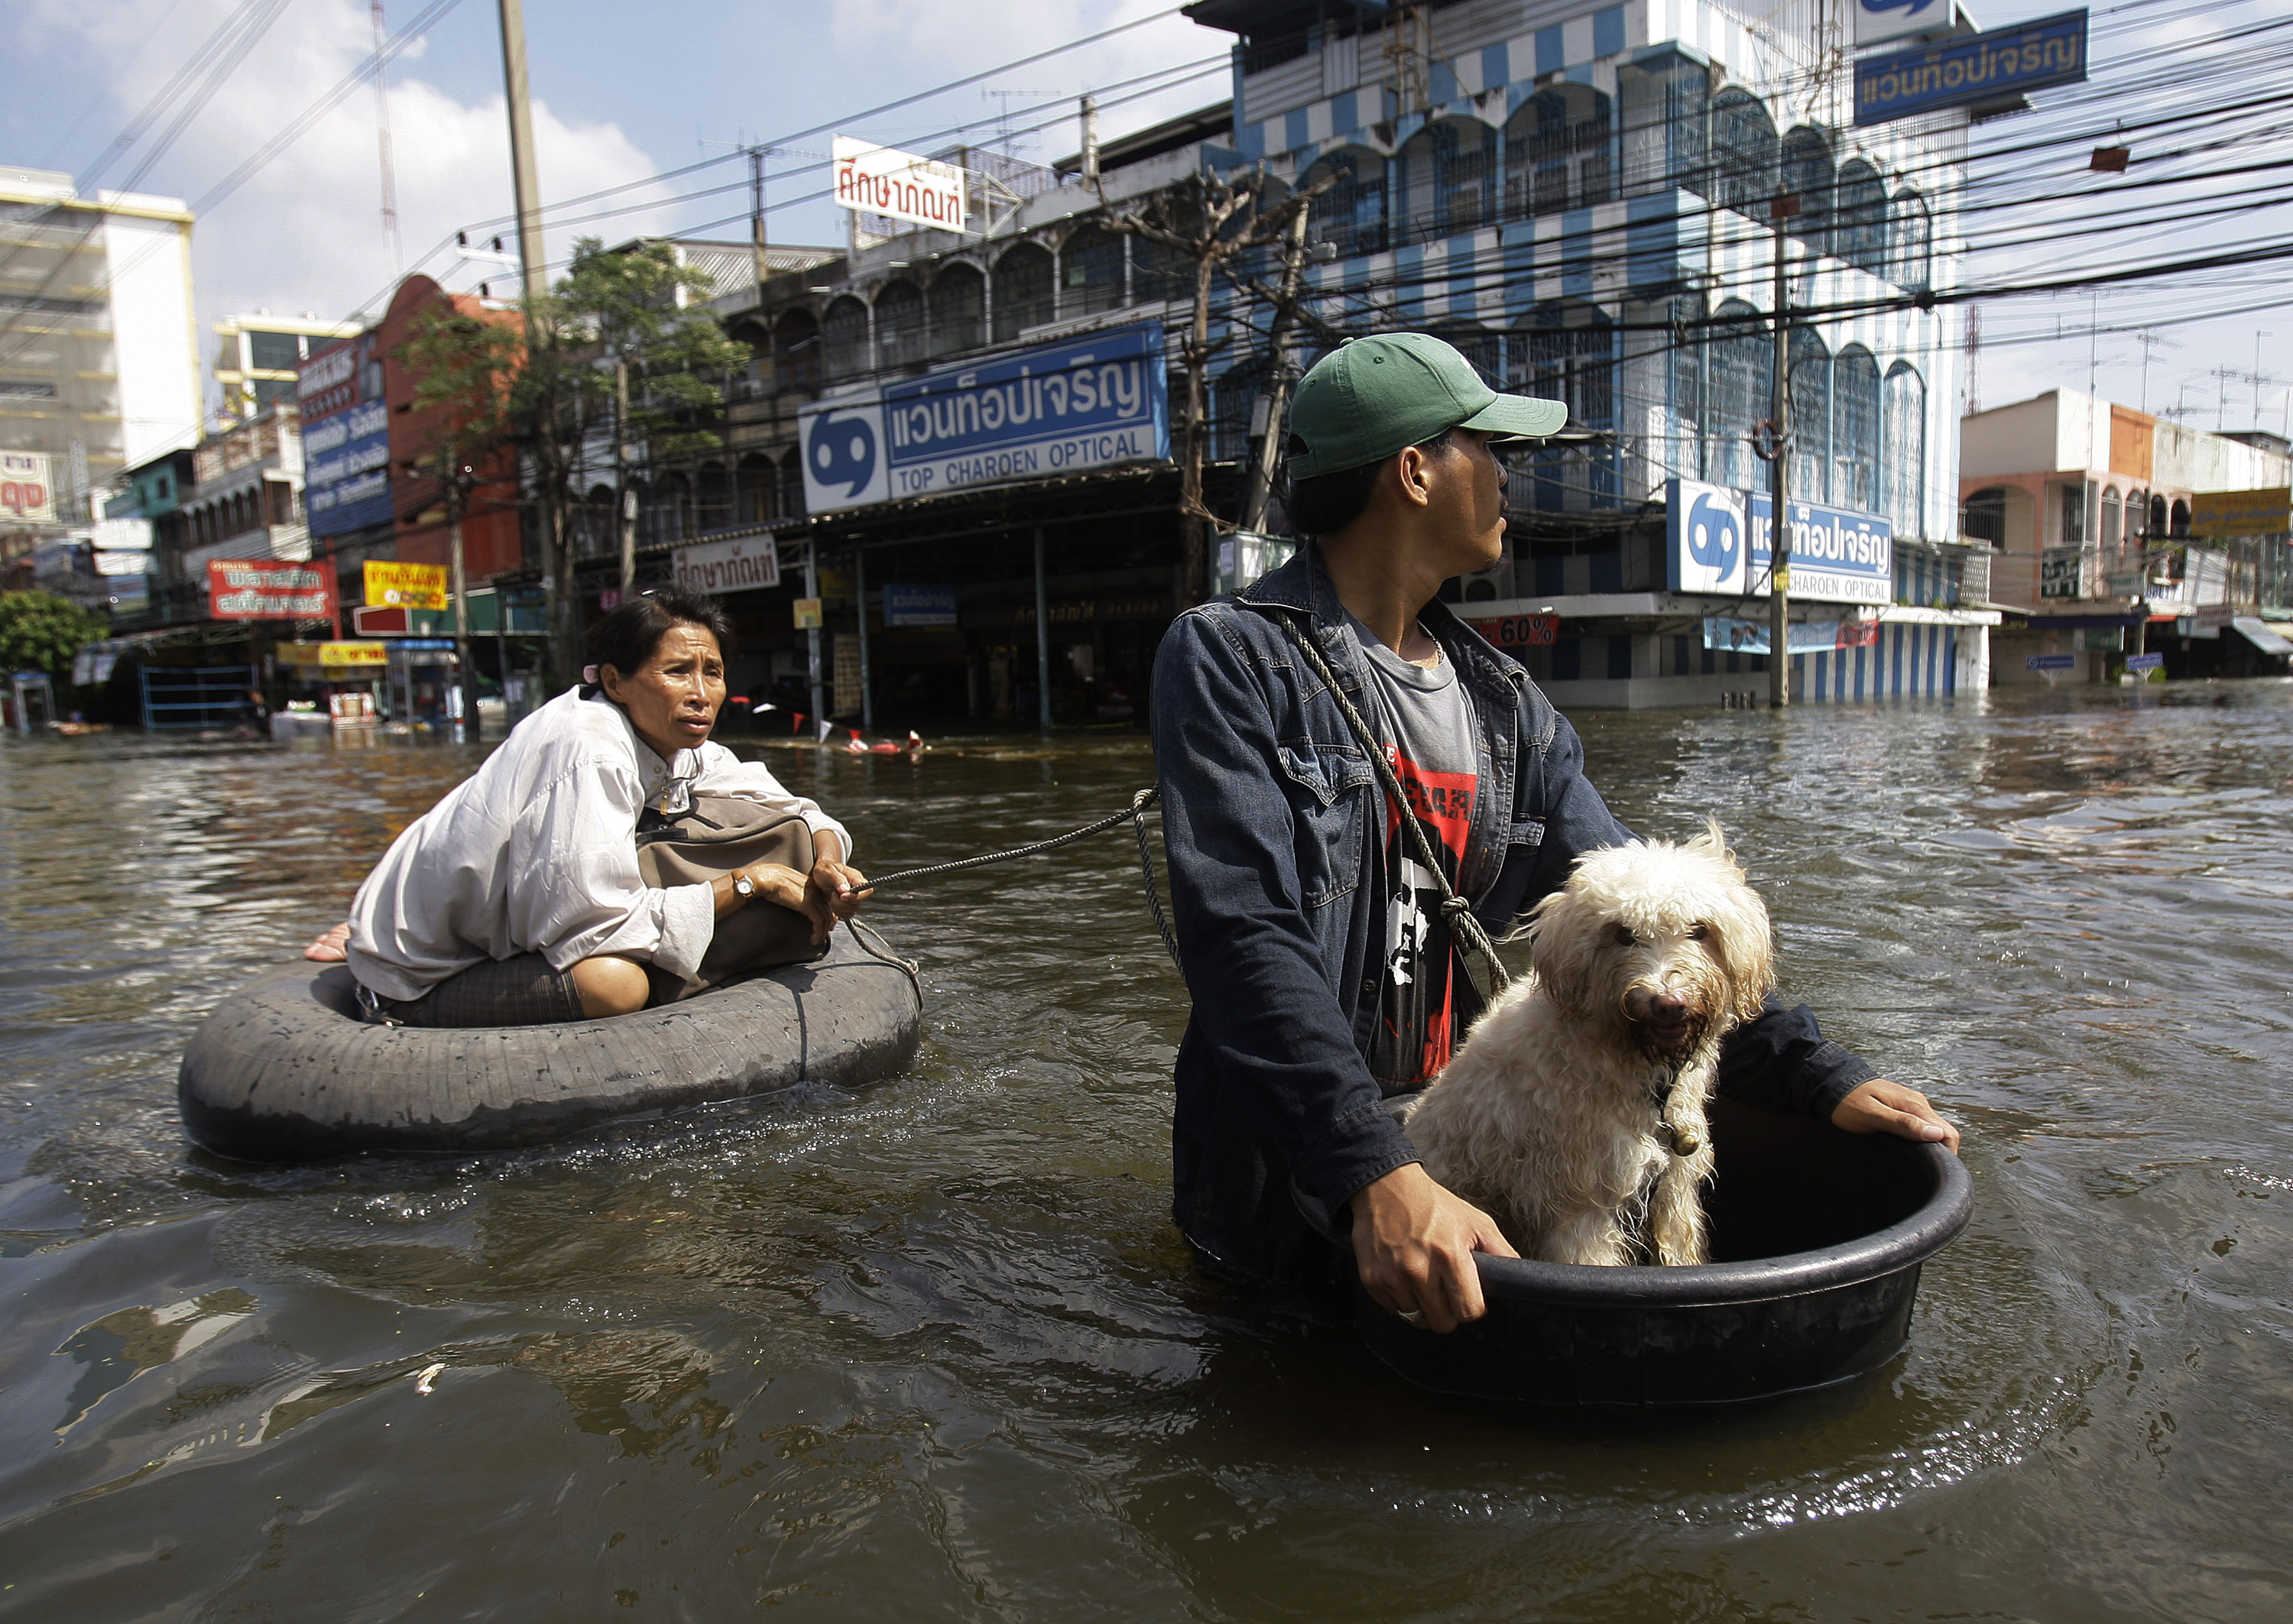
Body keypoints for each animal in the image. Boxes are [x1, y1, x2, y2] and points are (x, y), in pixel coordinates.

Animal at [1394, 825, 1770, 1266]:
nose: (1668, 1003)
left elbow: (1678, 1252)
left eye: (1699, 930)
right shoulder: (1582, 1206)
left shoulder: (1674, 1187)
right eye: (1623, 934)